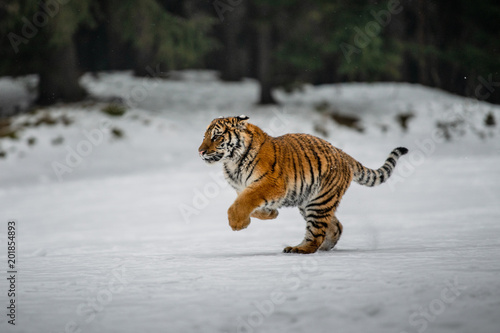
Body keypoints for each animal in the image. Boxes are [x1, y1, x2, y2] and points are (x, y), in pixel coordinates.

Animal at [197, 115, 408, 253]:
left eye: (216, 136)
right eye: (204, 136)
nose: (200, 151)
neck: (232, 163)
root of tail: (340, 152)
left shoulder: (270, 183)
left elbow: (244, 201)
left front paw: (237, 223)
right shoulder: (242, 188)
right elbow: (248, 203)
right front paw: (269, 214)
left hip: (319, 202)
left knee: (316, 233)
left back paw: (300, 249)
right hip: (309, 201)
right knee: (335, 226)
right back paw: (325, 247)